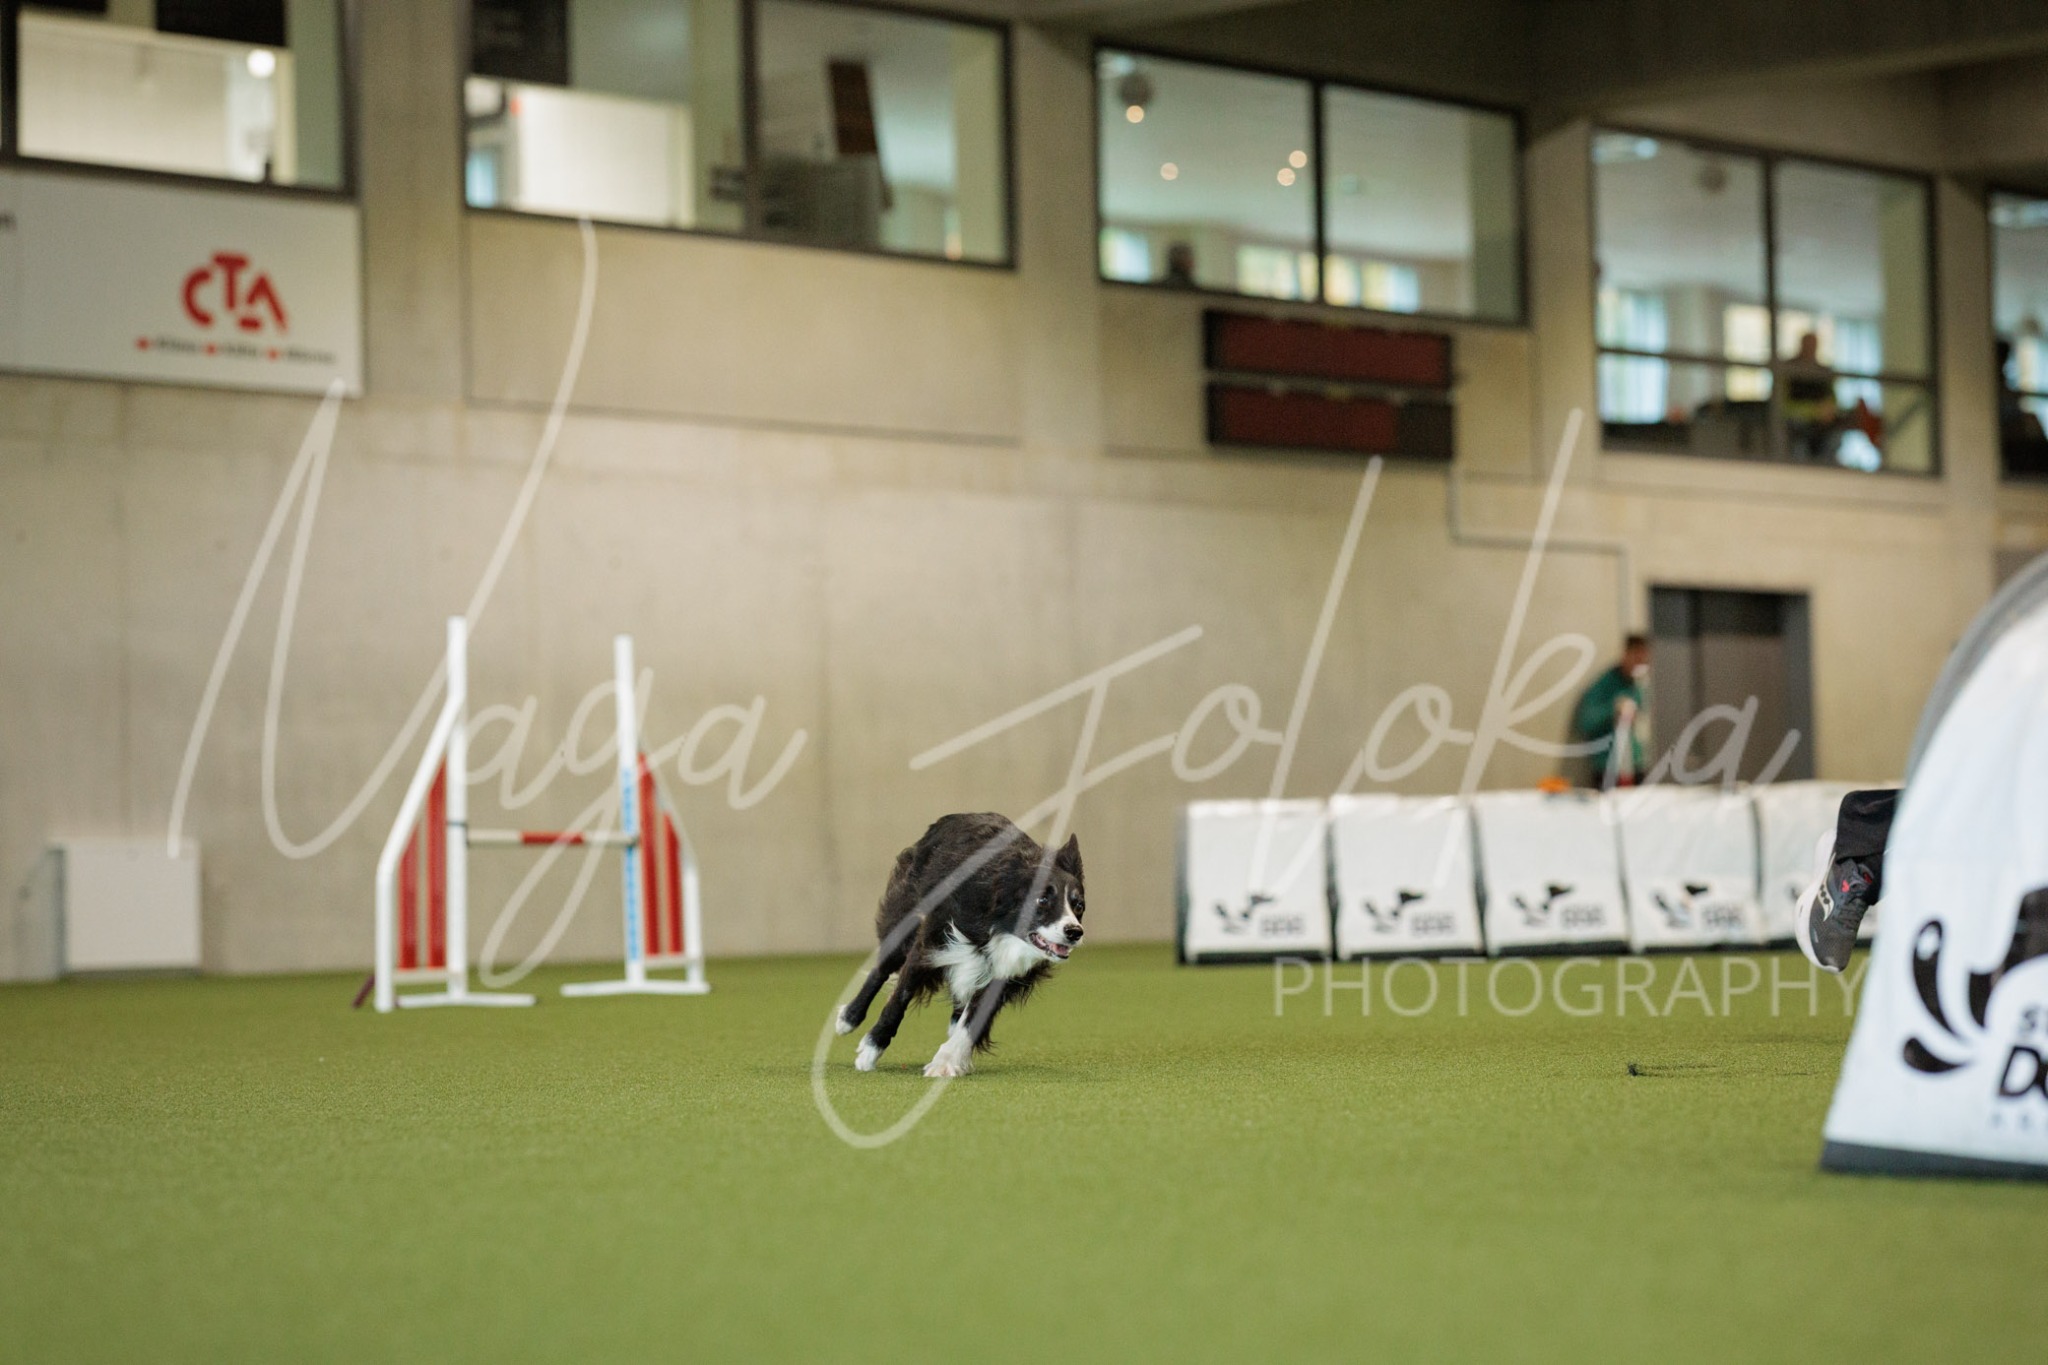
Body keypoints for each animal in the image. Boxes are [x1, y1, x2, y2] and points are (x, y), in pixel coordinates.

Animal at [836, 813, 1085, 1078]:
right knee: (881, 968)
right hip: (905, 914)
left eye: (1079, 905)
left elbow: (972, 1020)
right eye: (1042, 900)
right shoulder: (930, 943)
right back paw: (848, 1018)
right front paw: (870, 1050)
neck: (999, 925)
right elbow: (898, 999)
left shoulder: (1005, 975)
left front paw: (945, 1061)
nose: (1074, 932)